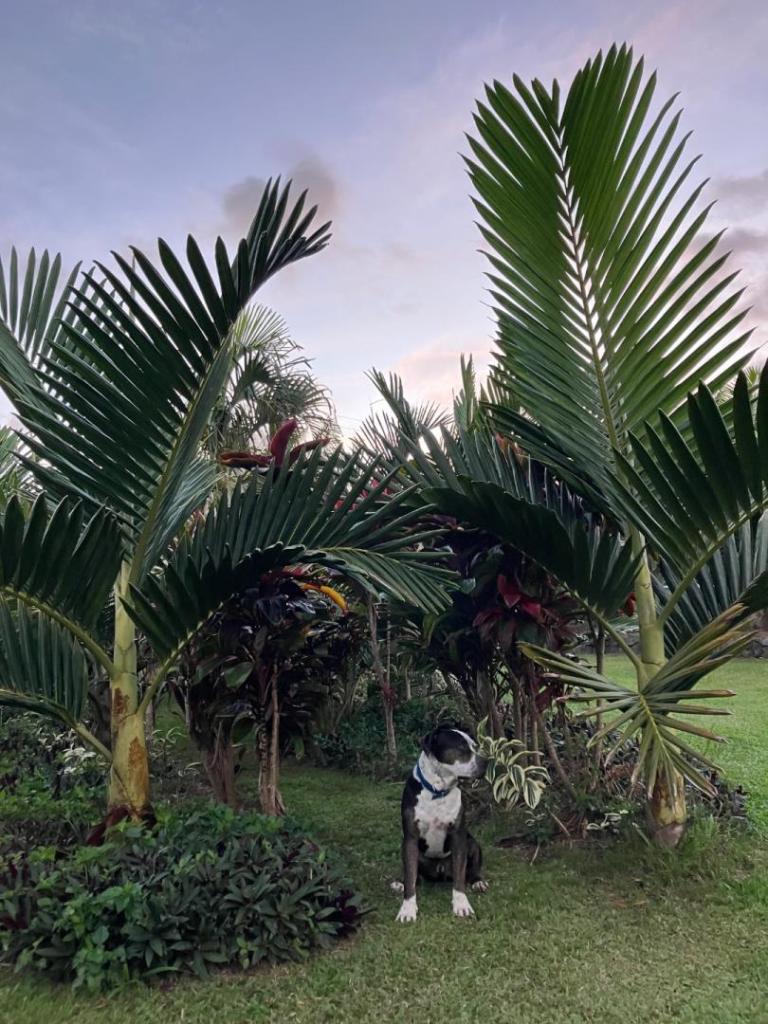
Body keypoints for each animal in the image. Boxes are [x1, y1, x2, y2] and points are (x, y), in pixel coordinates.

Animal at [393, 724, 488, 923]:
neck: (437, 791)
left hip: (473, 843)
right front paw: (407, 909)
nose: (486, 762)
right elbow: (410, 874)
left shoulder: (459, 837)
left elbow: (460, 876)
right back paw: (400, 883)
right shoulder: (410, 839)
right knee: (414, 875)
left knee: (471, 869)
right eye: (461, 747)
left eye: (475, 746)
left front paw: (461, 905)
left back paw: (478, 882)